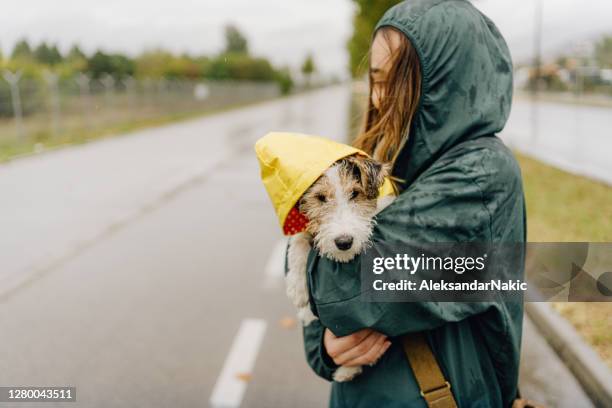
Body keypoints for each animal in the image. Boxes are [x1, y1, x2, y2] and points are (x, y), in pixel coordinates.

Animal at [284, 153, 394, 382]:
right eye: (320, 198)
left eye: (355, 193)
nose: (344, 242)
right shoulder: (305, 227)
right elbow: (298, 240)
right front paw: (298, 288)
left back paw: (347, 371)